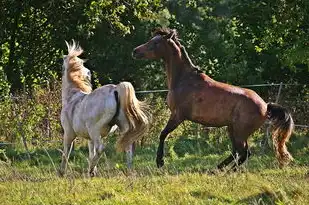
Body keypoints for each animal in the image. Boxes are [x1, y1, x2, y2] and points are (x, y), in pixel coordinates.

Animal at [59, 40, 150, 176]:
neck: (72, 97)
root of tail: (116, 89)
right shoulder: (89, 138)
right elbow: (91, 152)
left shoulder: (69, 134)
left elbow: (66, 152)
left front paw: (61, 172)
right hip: (123, 127)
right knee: (127, 147)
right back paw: (128, 171)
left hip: (95, 130)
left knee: (101, 148)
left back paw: (91, 170)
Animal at [132, 28, 294, 171]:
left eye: (155, 43)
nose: (135, 51)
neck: (184, 80)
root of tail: (265, 106)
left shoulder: (178, 115)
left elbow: (163, 134)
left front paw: (160, 162)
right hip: (232, 129)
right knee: (237, 152)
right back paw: (217, 169)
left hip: (240, 132)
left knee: (244, 153)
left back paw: (227, 171)